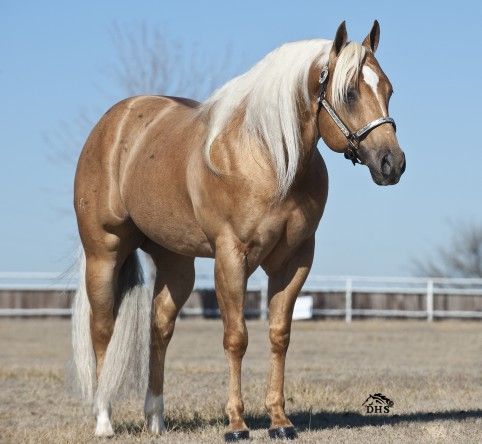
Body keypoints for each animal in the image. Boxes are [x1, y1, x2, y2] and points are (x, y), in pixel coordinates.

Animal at [72, 20, 405, 441]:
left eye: (388, 89)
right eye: (349, 93)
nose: (392, 163)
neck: (269, 156)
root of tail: (113, 123)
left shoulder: (294, 261)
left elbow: (279, 335)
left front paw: (280, 422)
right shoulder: (231, 257)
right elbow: (236, 337)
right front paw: (236, 424)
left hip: (176, 263)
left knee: (159, 327)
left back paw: (156, 420)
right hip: (104, 253)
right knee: (102, 329)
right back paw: (104, 420)